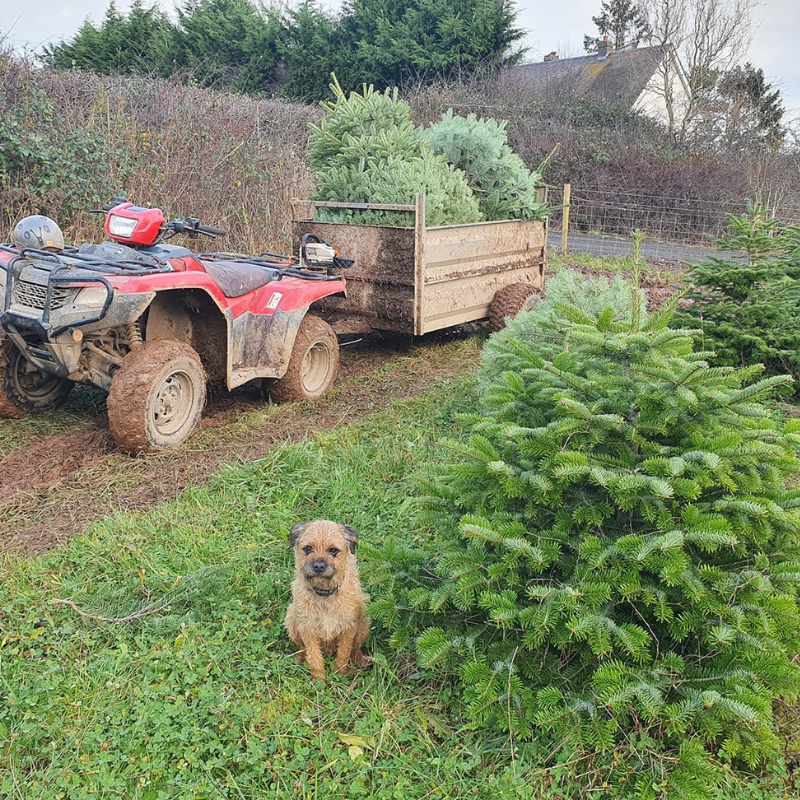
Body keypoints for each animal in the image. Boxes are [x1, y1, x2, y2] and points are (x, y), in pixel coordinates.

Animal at [284, 520, 372, 684]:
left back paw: (360, 660)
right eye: (308, 548)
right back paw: (300, 657)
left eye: (333, 550)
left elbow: (344, 652)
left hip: (363, 622)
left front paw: (339, 674)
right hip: (291, 619)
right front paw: (319, 681)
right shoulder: (307, 629)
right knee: (302, 646)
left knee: (355, 648)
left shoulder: (348, 627)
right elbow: (314, 656)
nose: (318, 566)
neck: (325, 595)